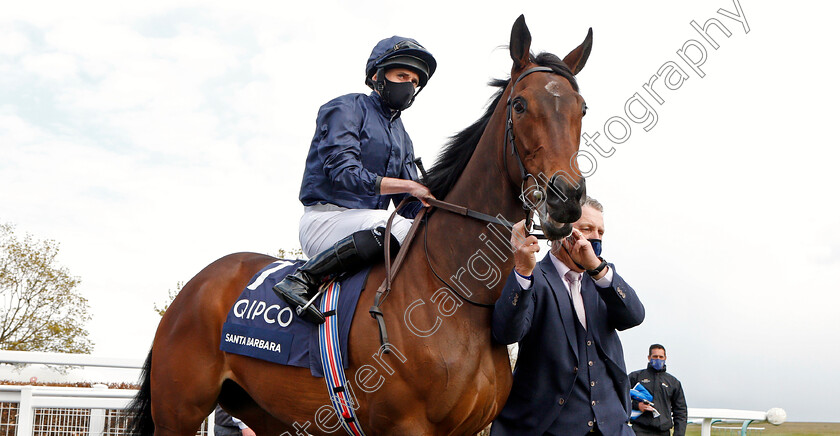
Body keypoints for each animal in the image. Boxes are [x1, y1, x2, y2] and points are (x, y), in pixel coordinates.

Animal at [130, 14, 592, 436]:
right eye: (520, 104)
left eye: (581, 108)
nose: (566, 198)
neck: (457, 295)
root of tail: (196, 285)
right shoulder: (406, 427)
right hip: (178, 412)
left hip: (265, 413)